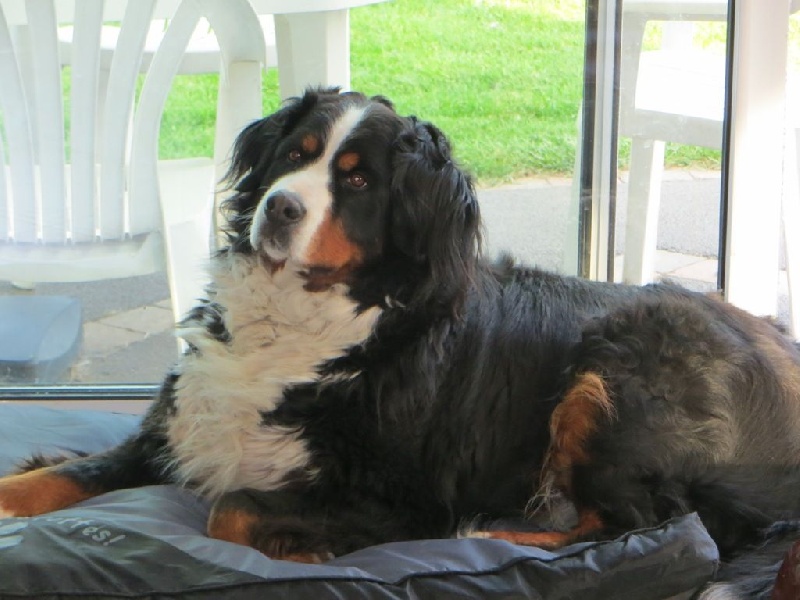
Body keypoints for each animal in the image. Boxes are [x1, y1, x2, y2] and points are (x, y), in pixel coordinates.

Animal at [1, 88, 800, 597]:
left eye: (357, 182)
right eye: (295, 153)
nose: (278, 207)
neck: (303, 322)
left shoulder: (395, 501)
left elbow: (234, 508)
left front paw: (305, 544)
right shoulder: (176, 429)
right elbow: (63, 475)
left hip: (620, 372)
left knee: (648, 526)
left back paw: (499, 539)